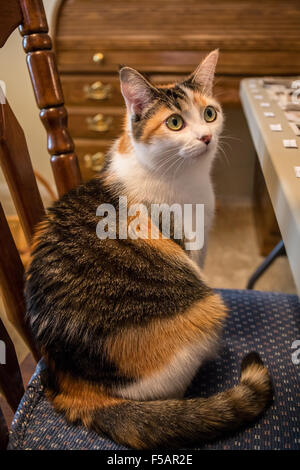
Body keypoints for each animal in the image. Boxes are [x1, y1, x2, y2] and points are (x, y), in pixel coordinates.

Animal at [26, 50, 272, 448]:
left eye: (209, 113)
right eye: (174, 122)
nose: (206, 136)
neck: (185, 178)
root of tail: (74, 386)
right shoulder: (191, 247)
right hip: (207, 310)